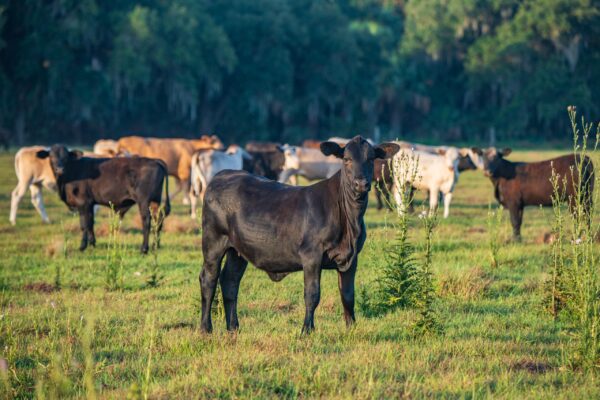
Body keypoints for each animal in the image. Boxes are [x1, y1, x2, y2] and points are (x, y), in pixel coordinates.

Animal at [37, 145, 171, 253]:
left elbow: (84, 224)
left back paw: (144, 248)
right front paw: (92, 243)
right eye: (51, 156)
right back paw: (155, 246)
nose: (59, 169)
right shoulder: (89, 204)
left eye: (66, 157)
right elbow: (90, 223)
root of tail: (154, 160)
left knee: (146, 221)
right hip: (155, 201)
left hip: (144, 201)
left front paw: (82, 246)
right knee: (158, 220)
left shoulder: (83, 203)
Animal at [199, 136, 400, 332]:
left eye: (371, 159)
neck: (350, 224)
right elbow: (312, 294)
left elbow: (348, 294)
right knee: (209, 279)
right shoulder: (311, 255)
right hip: (213, 242)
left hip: (238, 250)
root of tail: (224, 174)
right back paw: (205, 328)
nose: (361, 184)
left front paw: (351, 328)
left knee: (230, 282)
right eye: (346, 159)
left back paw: (233, 328)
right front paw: (306, 330)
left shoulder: (352, 256)